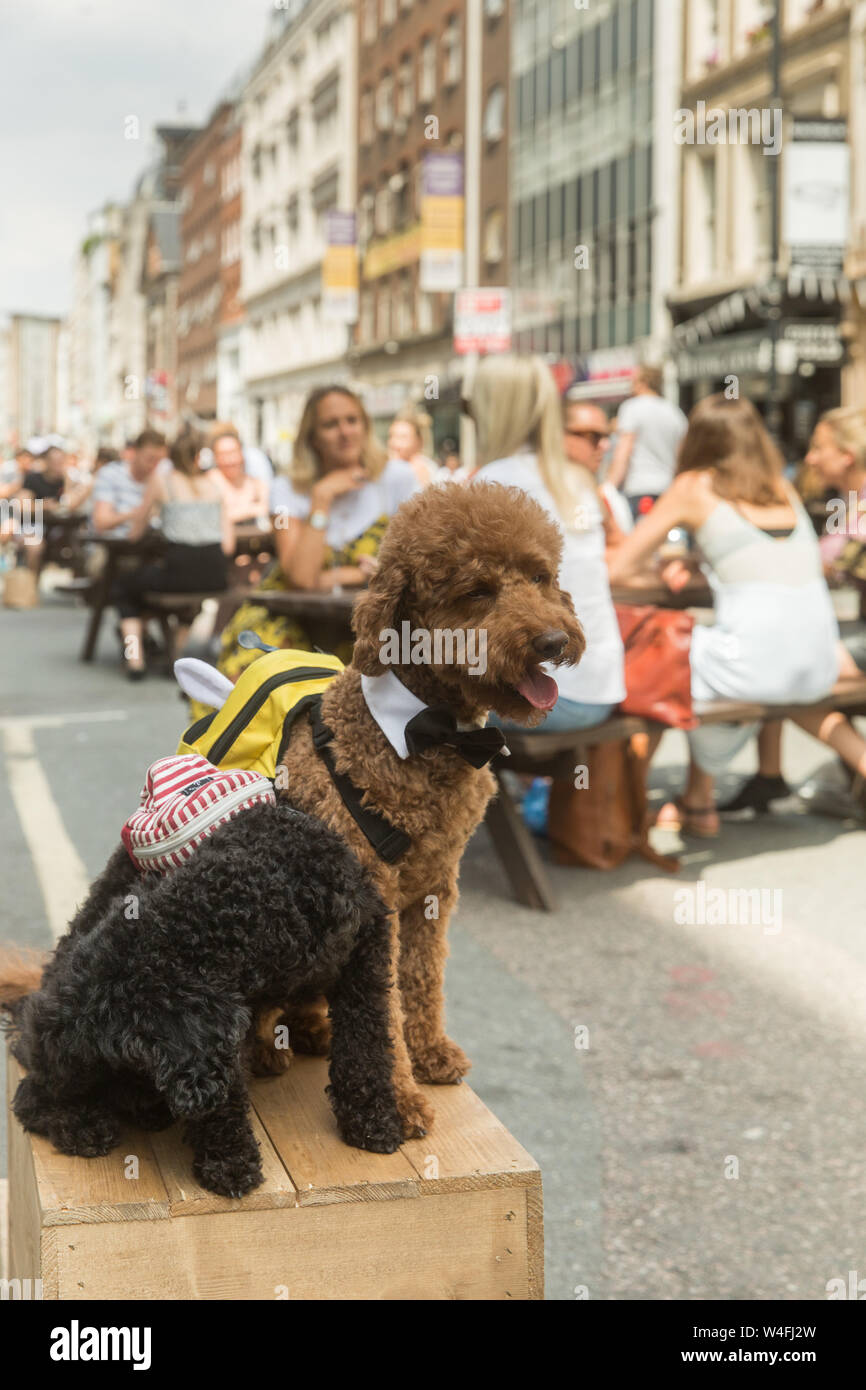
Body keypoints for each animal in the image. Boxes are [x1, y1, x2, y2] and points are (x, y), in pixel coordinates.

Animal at [6, 811, 405, 1200]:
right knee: (27, 1099)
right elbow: (224, 1095)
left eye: (133, 1066)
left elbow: (364, 1043)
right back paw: (83, 1125)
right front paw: (229, 1161)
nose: (140, 1098)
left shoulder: (364, 943)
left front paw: (371, 1118)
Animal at [261, 480, 589, 1139]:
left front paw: (430, 1052)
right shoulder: (376, 906)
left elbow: (423, 977)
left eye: (540, 577)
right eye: (477, 592)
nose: (552, 641)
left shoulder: (435, 890)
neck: (431, 735)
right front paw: (398, 1101)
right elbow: (381, 1008)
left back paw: (310, 1030)